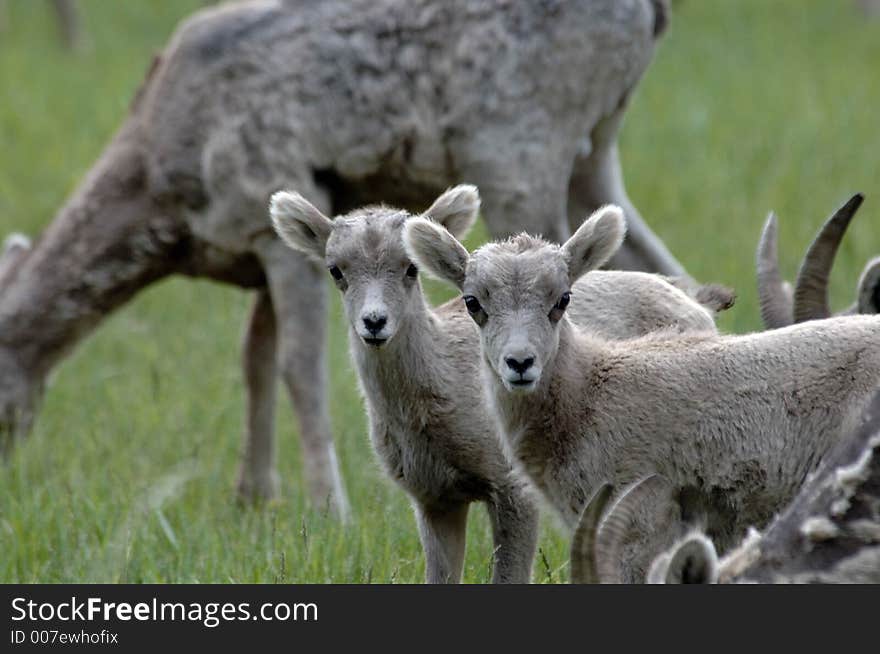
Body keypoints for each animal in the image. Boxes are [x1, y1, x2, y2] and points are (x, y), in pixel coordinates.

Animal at [0, 0, 680, 516]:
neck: (164, 194)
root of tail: (651, 12)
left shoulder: (271, 218)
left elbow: (299, 368)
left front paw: (329, 508)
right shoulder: (262, 254)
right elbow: (254, 360)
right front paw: (253, 498)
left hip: (520, 146)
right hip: (595, 151)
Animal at [268, 187, 728, 588]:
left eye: (411, 269)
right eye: (336, 271)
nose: (375, 323)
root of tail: (692, 300)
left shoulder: (513, 491)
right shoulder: (433, 499)